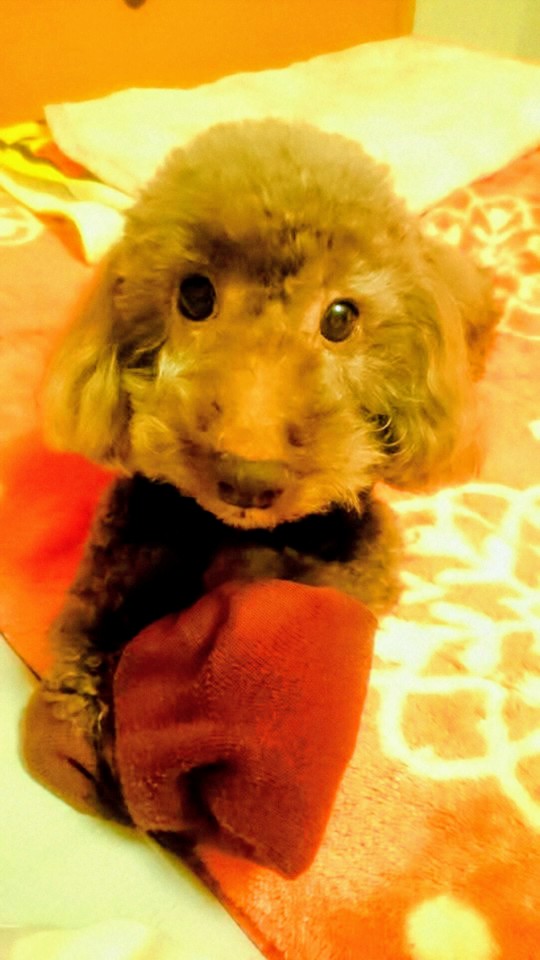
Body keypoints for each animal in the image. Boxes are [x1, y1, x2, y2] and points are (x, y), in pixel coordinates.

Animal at [27, 119, 496, 811]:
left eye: (340, 317)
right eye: (195, 295)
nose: (248, 478)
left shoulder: (359, 560)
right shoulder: (130, 535)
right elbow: (92, 626)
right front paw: (87, 720)